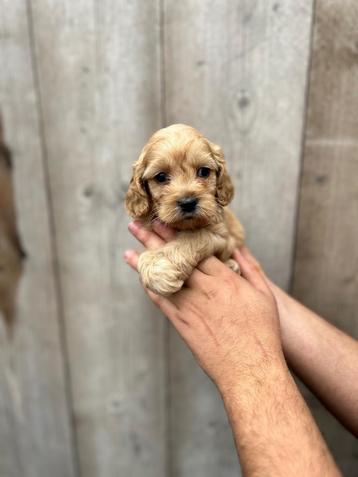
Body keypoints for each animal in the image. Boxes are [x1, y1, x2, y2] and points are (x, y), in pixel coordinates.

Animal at [124, 122, 245, 294]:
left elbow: (192, 238)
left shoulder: (222, 235)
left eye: (204, 171)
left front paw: (160, 264)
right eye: (161, 177)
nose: (188, 203)